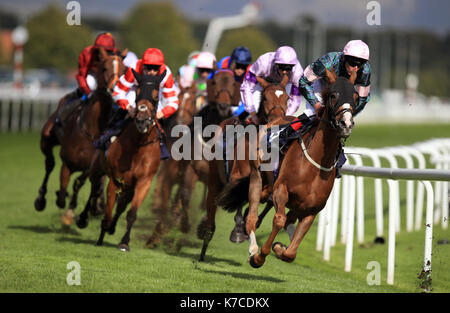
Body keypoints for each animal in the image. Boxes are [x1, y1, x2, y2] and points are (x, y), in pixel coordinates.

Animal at [33, 47, 126, 223]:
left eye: (124, 70)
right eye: (104, 68)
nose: (116, 89)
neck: (91, 130)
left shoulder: (91, 165)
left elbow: (79, 182)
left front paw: (72, 212)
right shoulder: (67, 162)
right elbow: (63, 188)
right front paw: (62, 200)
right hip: (46, 139)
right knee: (49, 163)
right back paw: (41, 199)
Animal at [198, 73, 290, 260]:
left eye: (287, 98)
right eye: (266, 97)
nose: (278, 121)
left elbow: (266, 196)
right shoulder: (235, 177)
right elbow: (241, 194)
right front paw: (239, 230)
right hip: (214, 178)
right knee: (211, 207)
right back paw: (205, 239)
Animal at [246, 70, 358, 266]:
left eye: (356, 97)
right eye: (333, 95)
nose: (346, 124)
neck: (316, 165)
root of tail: (276, 118)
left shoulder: (311, 209)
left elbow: (291, 253)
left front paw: (279, 247)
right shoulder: (281, 189)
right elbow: (279, 219)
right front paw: (260, 256)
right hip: (257, 176)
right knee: (252, 217)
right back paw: (253, 249)